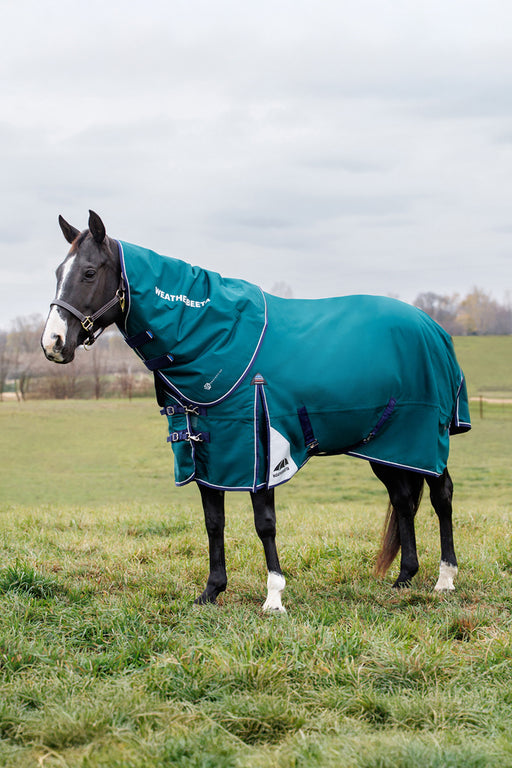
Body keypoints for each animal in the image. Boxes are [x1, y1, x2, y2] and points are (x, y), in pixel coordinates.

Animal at [41, 211, 471, 612]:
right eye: (59, 272)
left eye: (89, 272)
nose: (53, 343)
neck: (216, 340)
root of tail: (433, 328)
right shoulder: (207, 451)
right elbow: (213, 523)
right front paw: (211, 591)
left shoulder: (261, 448)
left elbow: (264, 524)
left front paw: (274, 597)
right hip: (386, 445)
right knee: (403, 499)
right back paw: (404, 578)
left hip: (424, 438)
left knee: (441, 495)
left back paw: (445, 578)